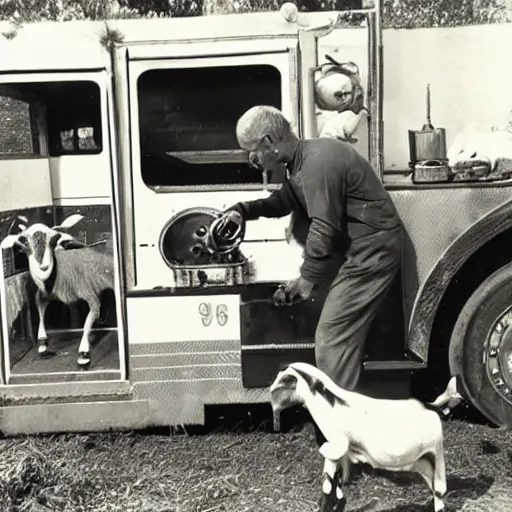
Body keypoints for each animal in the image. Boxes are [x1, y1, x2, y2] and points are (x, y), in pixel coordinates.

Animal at [0, 215, 114, 368]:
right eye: (24, 242)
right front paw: (43, 343)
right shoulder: (48, 293)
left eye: (54, 239)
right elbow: (39, 304)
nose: (43, 266)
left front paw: (83, 353)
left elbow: (90, 317)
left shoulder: (90, 294)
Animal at [272, 362, 464, 510]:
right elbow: (335, 483)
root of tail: (432, 406)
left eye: (281, 384)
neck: (332, 403)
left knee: (439, 491)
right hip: (423, 463)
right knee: (436, 492)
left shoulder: (336, 445)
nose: (275, 419)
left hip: (436, 454)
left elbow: (328, 484)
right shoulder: (341, 453)